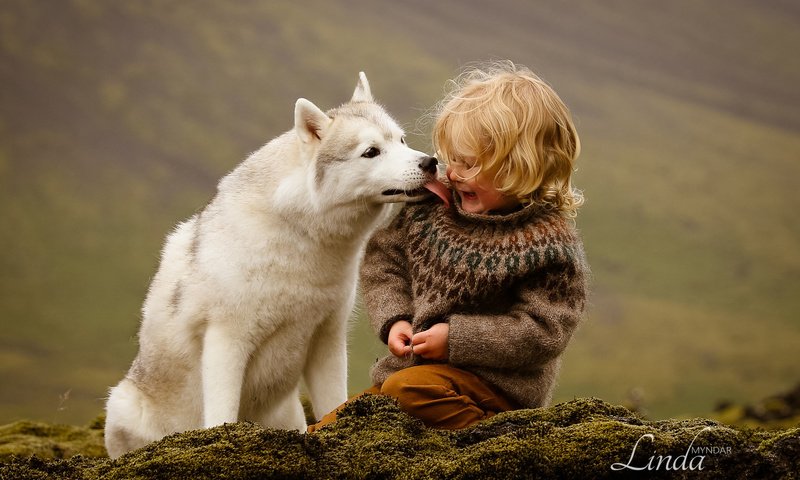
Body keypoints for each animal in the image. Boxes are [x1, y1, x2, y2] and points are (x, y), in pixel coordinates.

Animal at [104, 72, 450, 458]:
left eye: (401, 140)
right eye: (371, 152)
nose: (430, 163)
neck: (301, 238)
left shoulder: (327, 338)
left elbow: (333, 403)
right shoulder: (227, 340)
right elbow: (222, 415)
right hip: (121, 403)